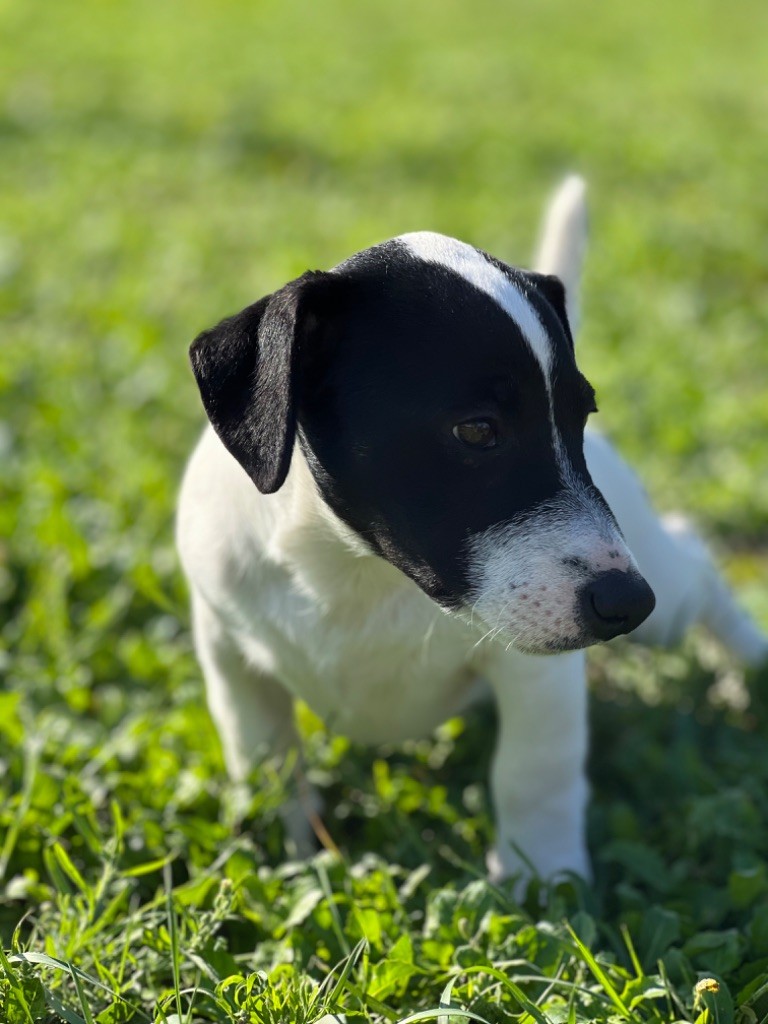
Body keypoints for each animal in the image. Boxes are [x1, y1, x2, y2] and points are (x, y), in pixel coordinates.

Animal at [177, 180, 765, 884]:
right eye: (477, 429)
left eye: (581, 418)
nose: (628, 603)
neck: (356, 572)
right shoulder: (231, 656)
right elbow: (265, 761)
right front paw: (284, 860)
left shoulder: (541, 673)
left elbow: (533, 773)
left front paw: (545, 882)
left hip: (667, 602)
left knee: (696, 562)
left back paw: (751, 660)